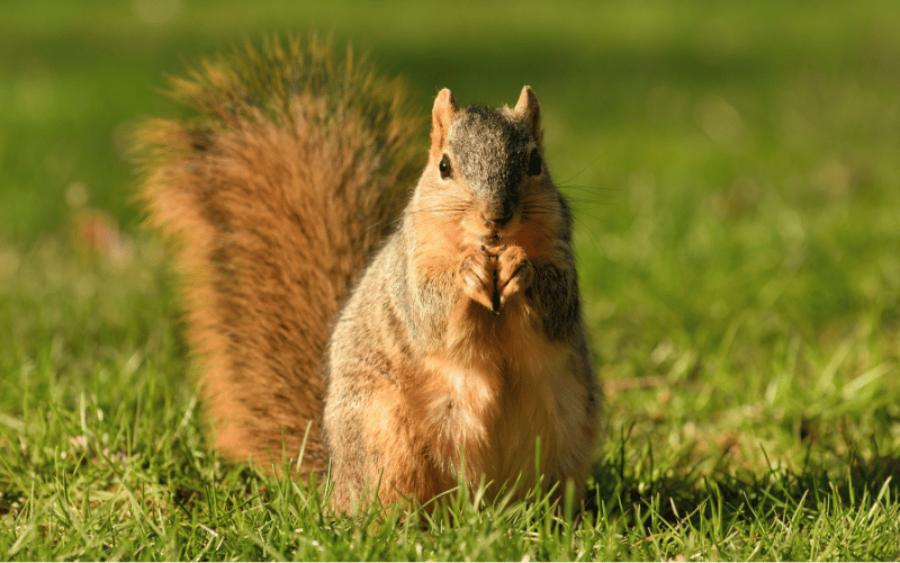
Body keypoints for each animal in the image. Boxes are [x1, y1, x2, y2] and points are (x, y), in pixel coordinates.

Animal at [137, 36, 600, 512]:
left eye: (535, 162)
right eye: (444, 166)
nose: (496, 217)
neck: (486, 247)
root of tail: (336, 483)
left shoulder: (559, 250)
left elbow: (559, 306)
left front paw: (520, 268)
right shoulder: (410, 267)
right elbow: (429, 311)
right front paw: (465, 274)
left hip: (564, 434)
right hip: (384, 438)